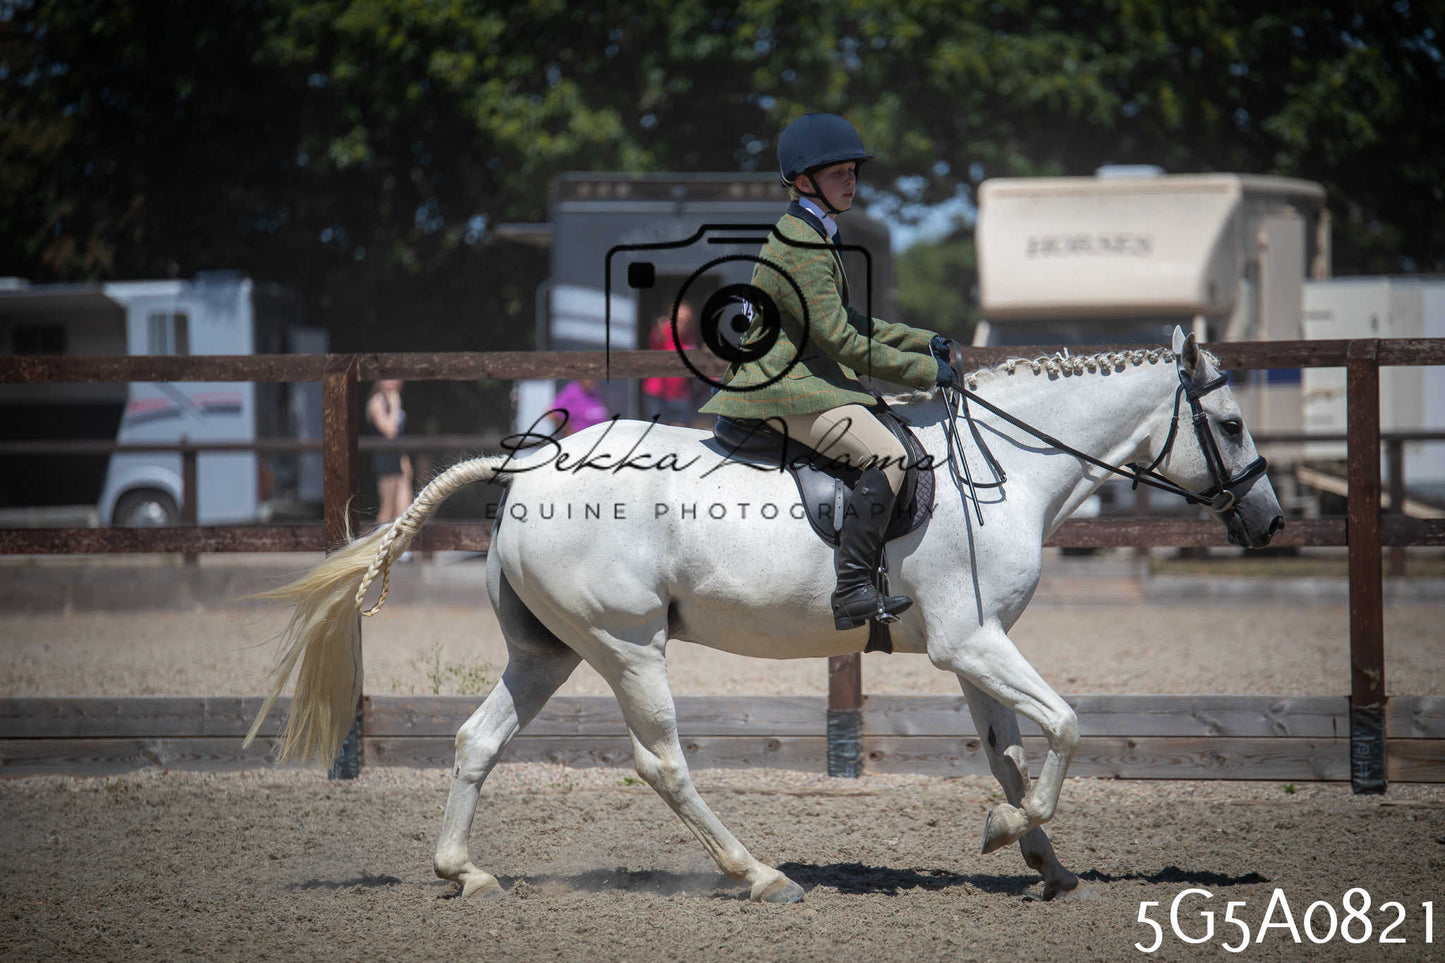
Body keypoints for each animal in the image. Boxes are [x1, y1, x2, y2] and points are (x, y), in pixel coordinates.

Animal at [246, 327, 1283, 904]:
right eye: (1231, 426)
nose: (1269, 522)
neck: (1004, 469)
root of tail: (527, 465)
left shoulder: (973, 649)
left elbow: (1011, 748)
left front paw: (1042, 857)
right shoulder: (971, 641)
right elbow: (1065, 725)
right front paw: (1006, 831)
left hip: (548, 652)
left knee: (476, 741)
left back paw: (465, 872)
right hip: (627, 645)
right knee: (661, 762)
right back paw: (760, 875)